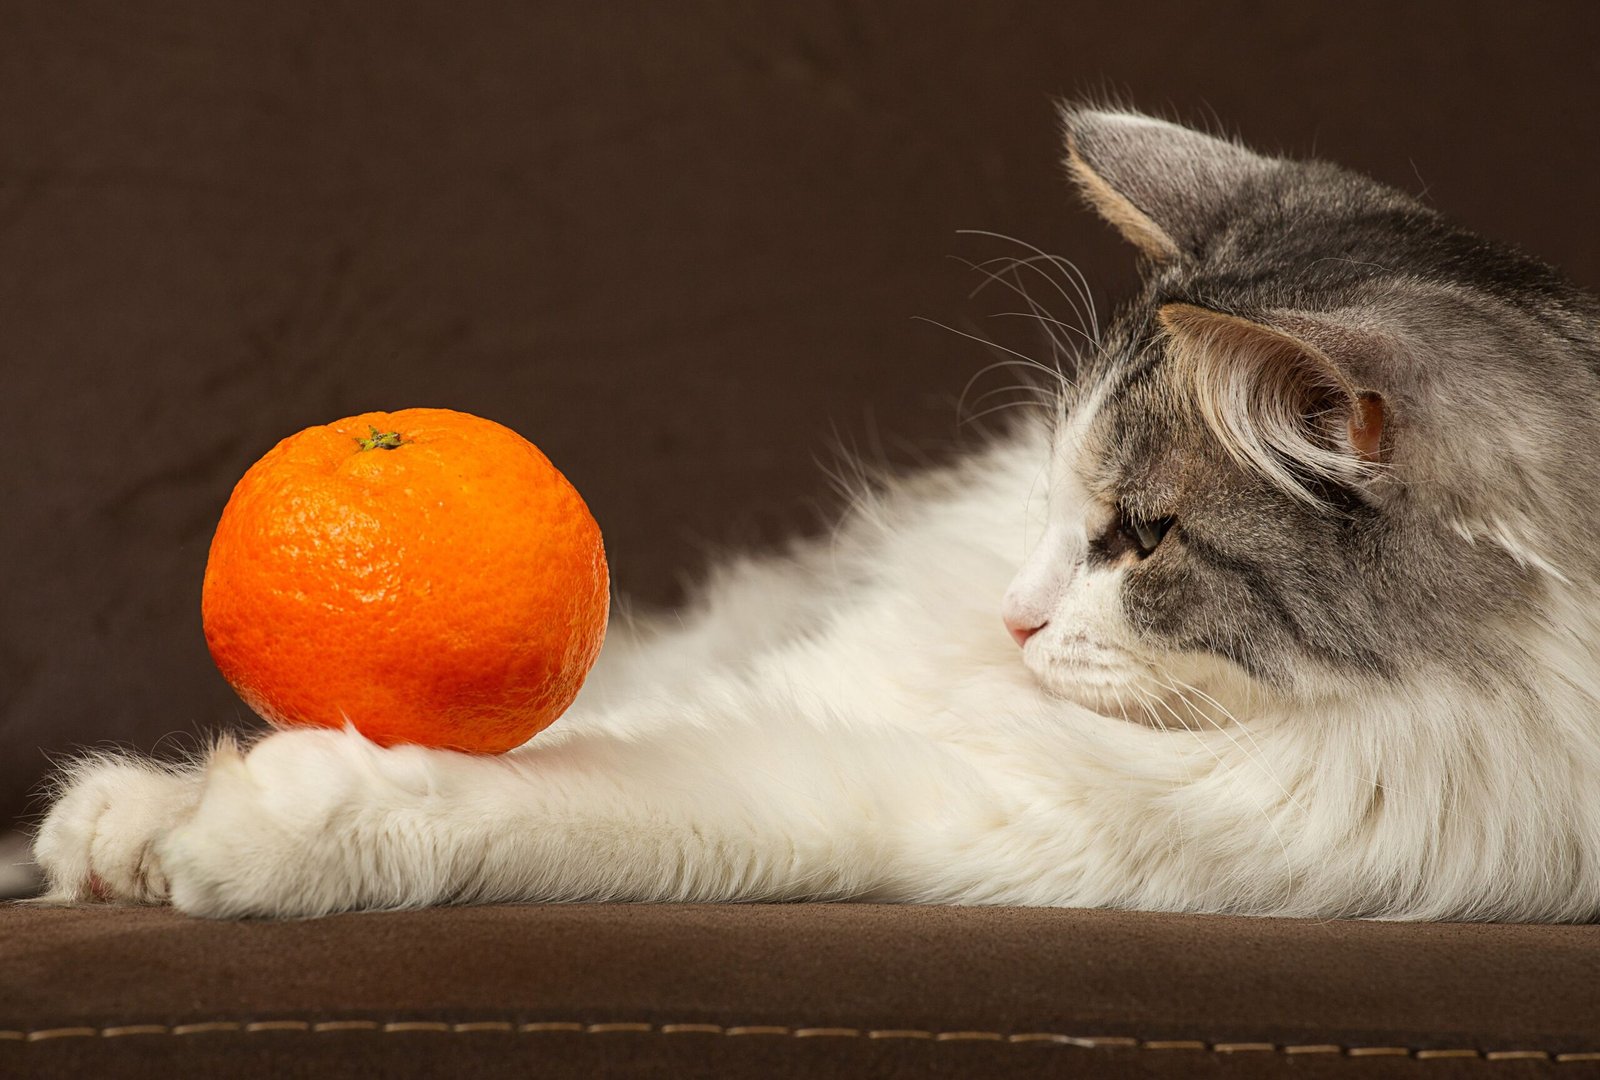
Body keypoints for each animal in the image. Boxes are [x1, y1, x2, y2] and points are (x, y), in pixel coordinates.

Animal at [31, 105, 1600, 928]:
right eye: (1060, 501)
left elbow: (570, 797)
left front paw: (253, 831)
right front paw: (130, 818)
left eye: (1144, 539)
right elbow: (606, 731)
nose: (1013, 619)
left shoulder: (958, 811)